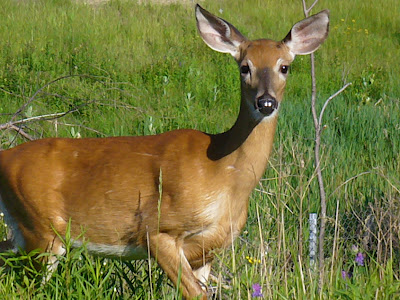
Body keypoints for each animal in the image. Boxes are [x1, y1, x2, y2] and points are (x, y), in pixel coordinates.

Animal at [0, 4, 330, 300]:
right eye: (244, 67)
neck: (223, 173)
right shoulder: (158, 229)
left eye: (284, 66)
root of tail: (6, 156)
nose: (266, 102)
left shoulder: (207, 252)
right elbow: (194, 294)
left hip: (24, 232)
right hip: (41, 229)